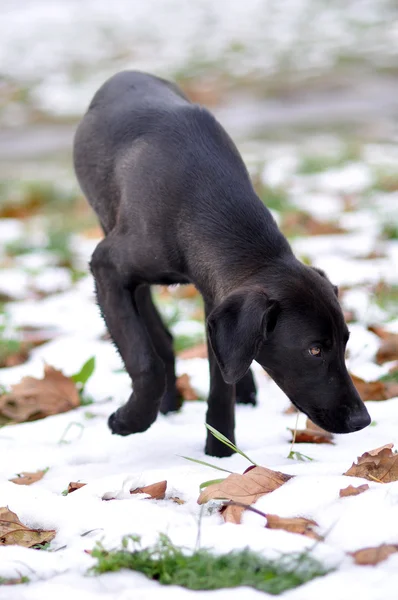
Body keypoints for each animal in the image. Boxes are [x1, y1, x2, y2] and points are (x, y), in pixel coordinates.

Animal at [74, 70, 370, 454]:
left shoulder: (216, 296)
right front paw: (130, 420)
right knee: (157, 338)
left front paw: (221, 452)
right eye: (314, 350)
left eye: (346, 341)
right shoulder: (107, 268)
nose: (362, 420)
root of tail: (126, 74)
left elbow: (220, 381)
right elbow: (145, 362)